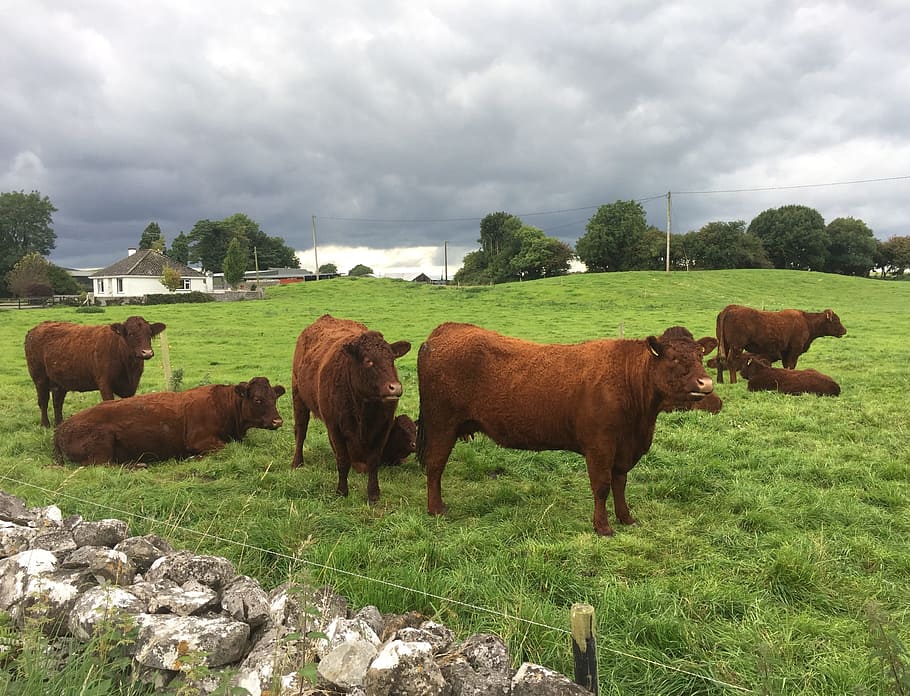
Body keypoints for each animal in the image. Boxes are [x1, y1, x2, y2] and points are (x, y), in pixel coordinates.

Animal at [25, 316, 166, 427]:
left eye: (150, 334)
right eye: (131, 333)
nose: (147, 352)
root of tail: (38, 327)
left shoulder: (132, 386)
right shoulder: (104, 383)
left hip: (59, 381)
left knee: (57, 402)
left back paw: (59, 423)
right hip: (40, 378)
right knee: (43, 401)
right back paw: (45, 424)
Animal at [53, 377, 285, 464]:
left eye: (275, 398)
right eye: (258, 399)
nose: (278, 421)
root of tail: (61, 428)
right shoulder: (200, 440)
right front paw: (192, 458)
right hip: (101, 445)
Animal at [290, 314, 411, 504]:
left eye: (392, 359)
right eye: (368, 361)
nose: (395, 388)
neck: (365, 409)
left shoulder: (384, 427)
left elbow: (374, 461)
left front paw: (373, 494)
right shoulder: (335, 427)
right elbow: (343, 460)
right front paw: (342, 491)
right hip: (298, 396)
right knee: (301, 431)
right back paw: (297, 463)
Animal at [416, 323, 714, 536]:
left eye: (700, 354)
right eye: (673, 358)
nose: (707, 383)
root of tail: (446, 330)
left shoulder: (624, 449)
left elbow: (620, 483)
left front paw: (626, 518)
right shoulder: (599, 445)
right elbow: (602, 486)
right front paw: (603, 527)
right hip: (441, 424)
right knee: (435, 465)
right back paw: (436, 509)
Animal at [714, 305, 846, 384]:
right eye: (836, 321)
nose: (844, 330)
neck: (806, 322)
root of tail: (730, 308)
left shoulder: (784, 351)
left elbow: (786, 365)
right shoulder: (794, 350)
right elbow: (791, 365)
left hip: (723, 344)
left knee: (719, 360)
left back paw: (720, 381)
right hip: (736, 346)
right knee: (731, 361)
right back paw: (733, 382)